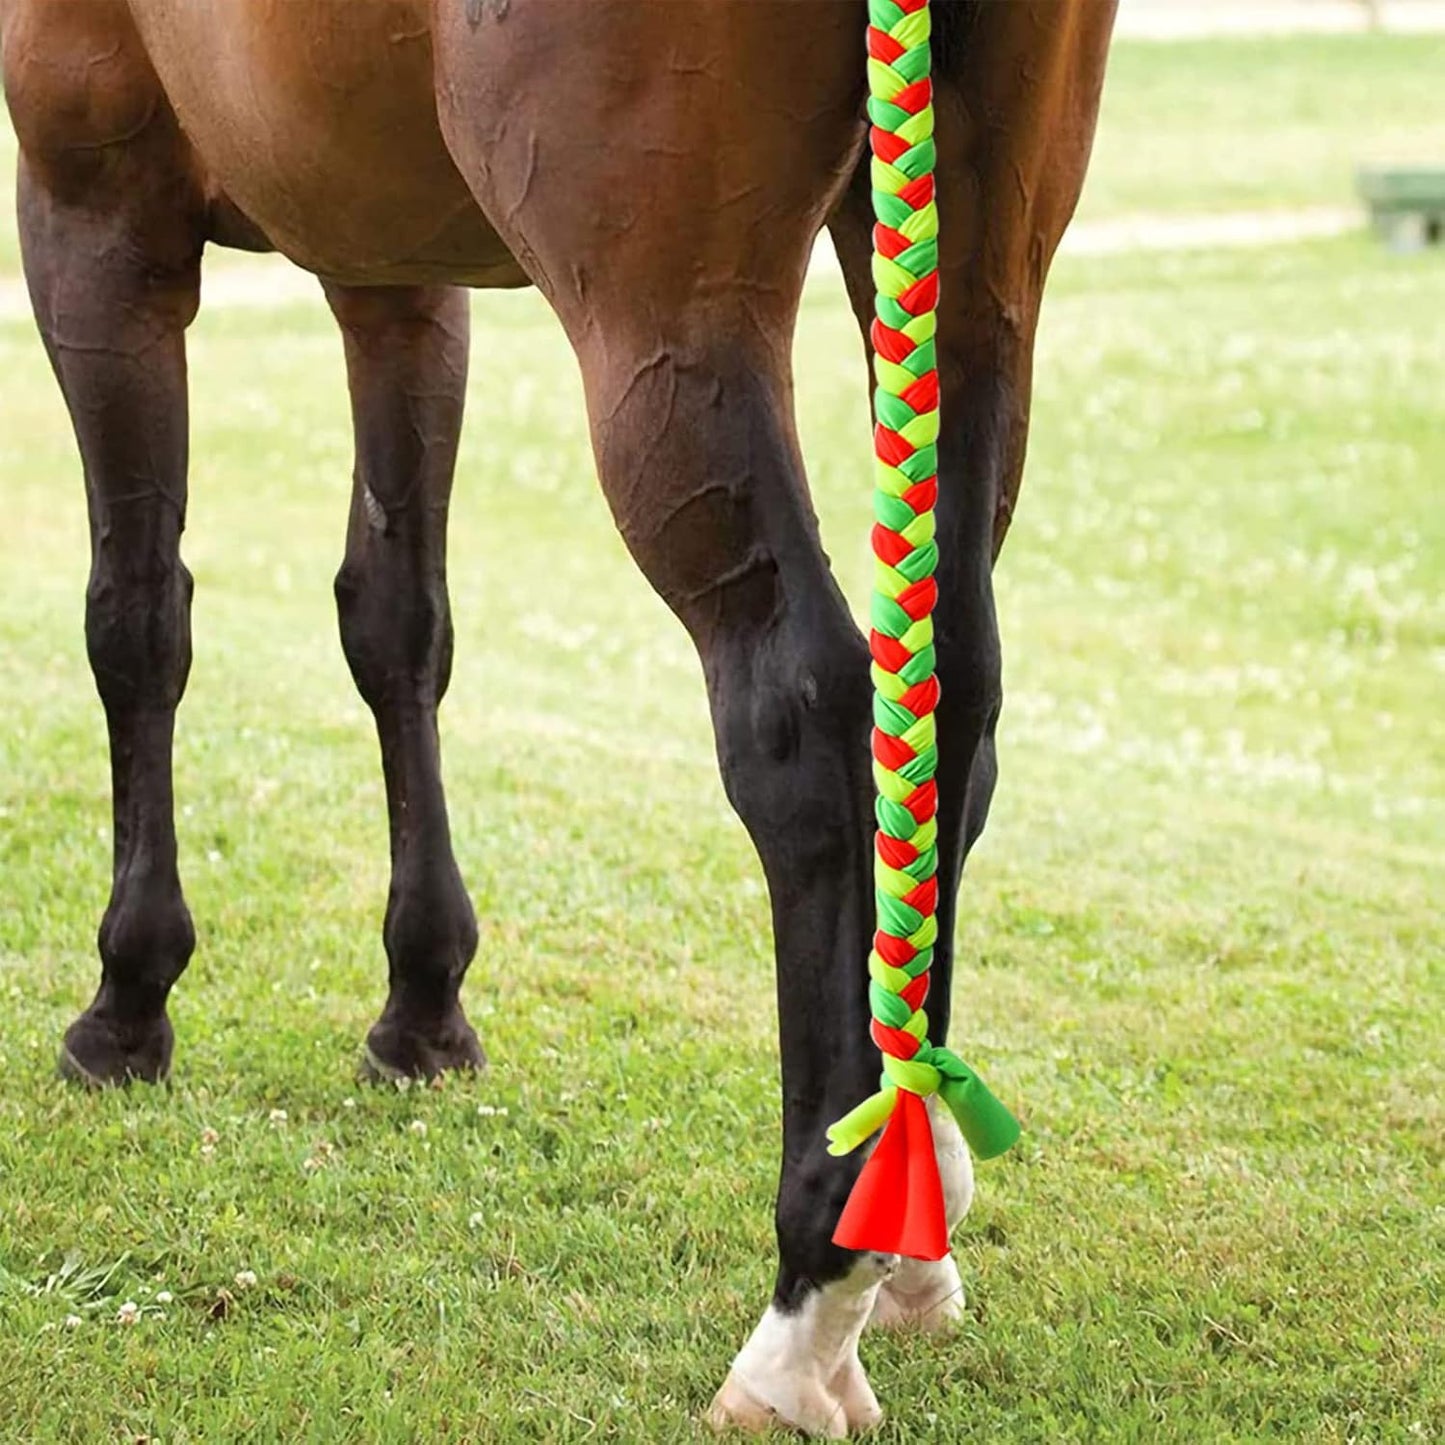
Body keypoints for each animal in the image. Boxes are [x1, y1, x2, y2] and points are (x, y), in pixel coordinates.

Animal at [0, 0, 1115, 1432]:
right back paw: (910, 1219)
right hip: (968, 279)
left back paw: (809, 1297)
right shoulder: (393, 265)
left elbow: (136, 619)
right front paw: (423, 1004)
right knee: (945, 703)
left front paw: (129, 998)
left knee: (805, 714)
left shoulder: (95, 206)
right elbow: (396, 620)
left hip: (665, 318)